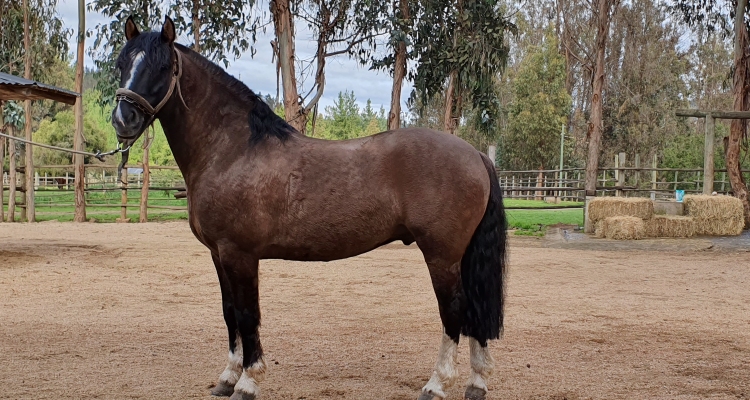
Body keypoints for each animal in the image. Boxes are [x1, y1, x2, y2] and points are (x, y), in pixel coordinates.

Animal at [113, 15, 512, 400]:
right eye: (122, 63)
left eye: (162, 67)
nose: (123, 119)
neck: (233, 150)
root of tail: (475, 154)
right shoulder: (218, 254)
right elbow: (230, 315)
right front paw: (227, 379)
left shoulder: (240, 254)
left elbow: (247, 314)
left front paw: (248, 383)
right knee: (475, 310)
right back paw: (476, 384)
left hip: (442, 255)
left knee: (455, 312)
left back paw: (436, 385)